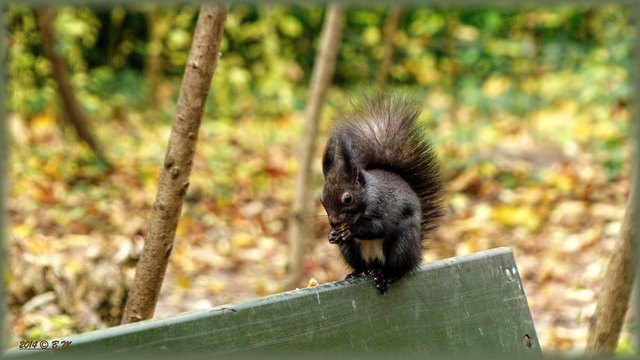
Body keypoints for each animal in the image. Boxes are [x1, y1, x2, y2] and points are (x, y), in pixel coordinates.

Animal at [322, 93, 442, 296]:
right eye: (322, 199)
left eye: (348, 198)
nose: (334, 222)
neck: (368, 195)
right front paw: (332, 235)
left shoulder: (385, 207)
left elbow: (377, 227)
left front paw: (350, 230)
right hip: (351, 252)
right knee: (363, 265)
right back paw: (358, 273)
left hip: (401, 244)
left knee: (399, 270)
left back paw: (385, 276)